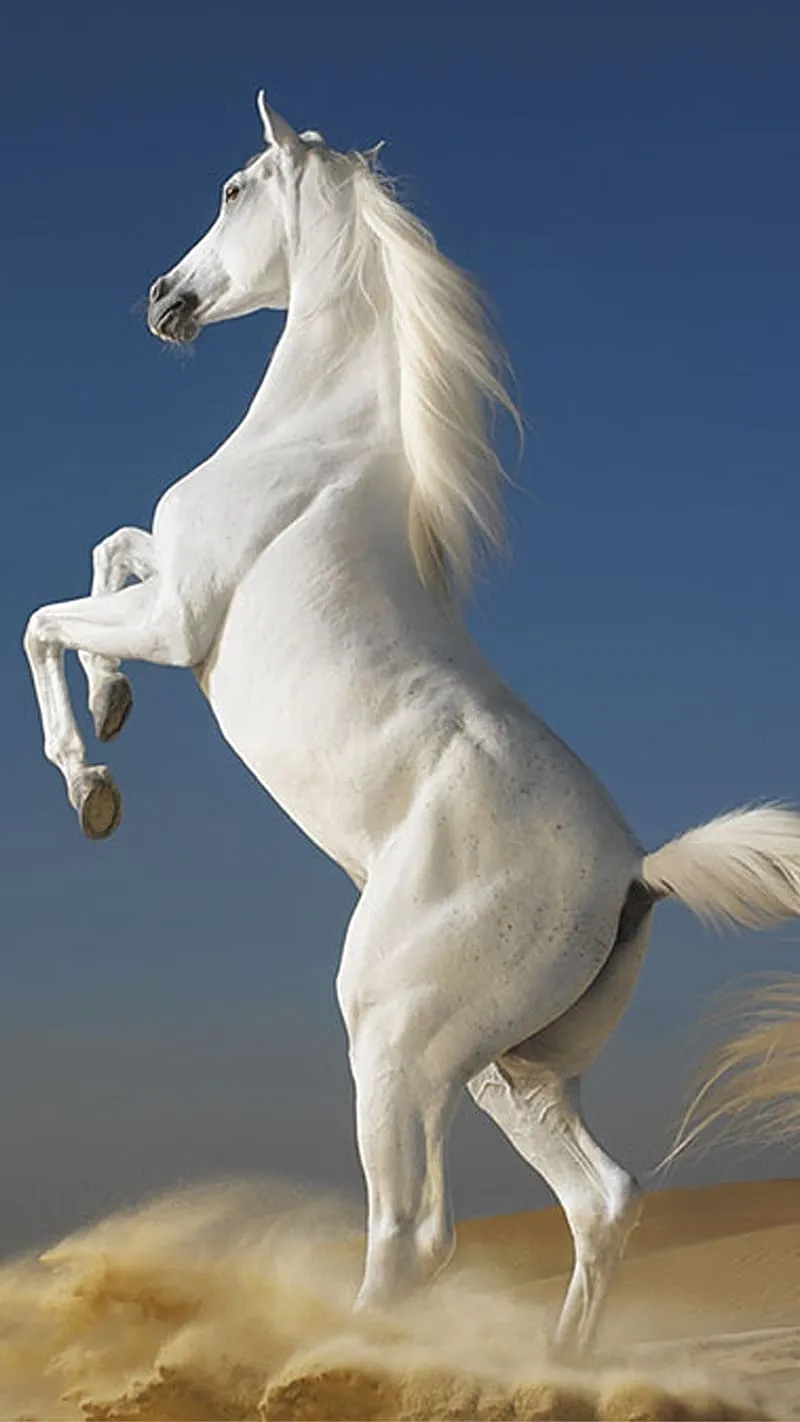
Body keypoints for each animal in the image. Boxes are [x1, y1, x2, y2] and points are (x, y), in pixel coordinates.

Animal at [23, 92, 800, 1356]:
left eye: (232, 188)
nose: (162, 299)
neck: (316, 443)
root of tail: (635, 874)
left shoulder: (181, 618)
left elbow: (44, 617)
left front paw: (91, 785)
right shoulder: (164, 586)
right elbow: (108, 551)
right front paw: (112, 706)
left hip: (393, 1041)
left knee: (413, 1238)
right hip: (502, 1070)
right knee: (600, 1201)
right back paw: (552, 1370)